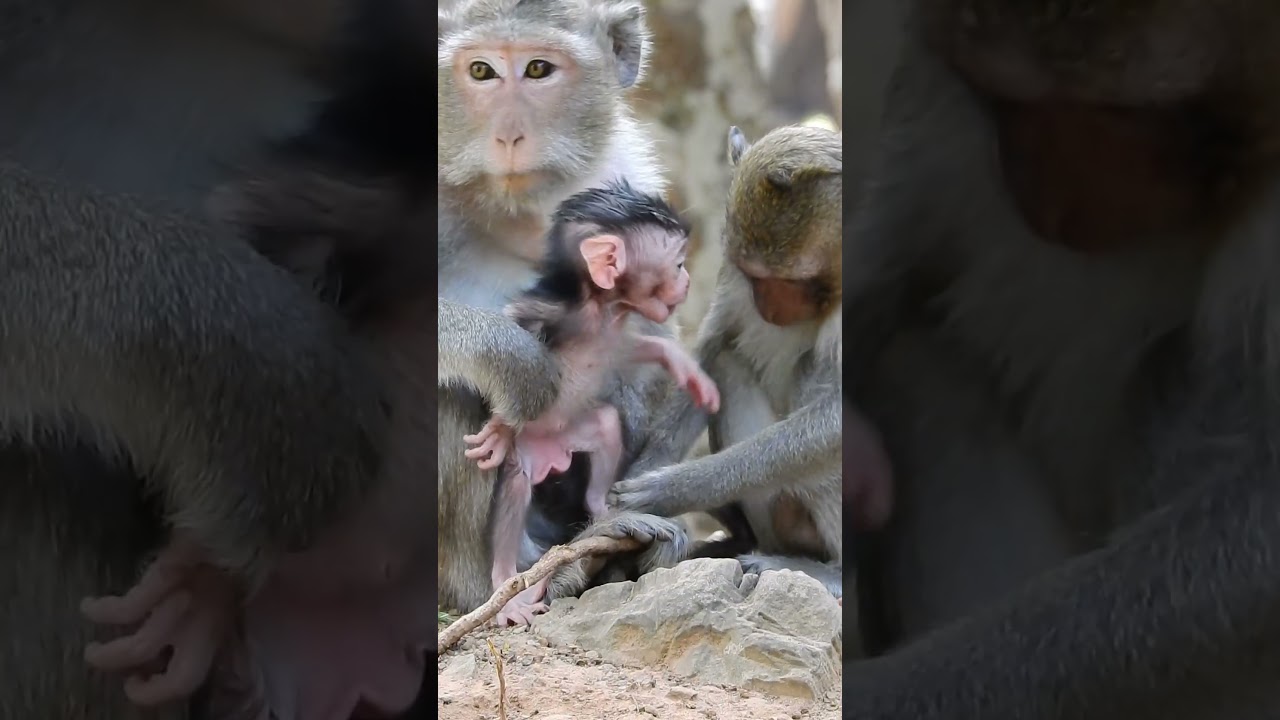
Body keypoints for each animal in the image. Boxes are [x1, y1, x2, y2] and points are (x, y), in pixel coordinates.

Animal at [460, 179, 720, 625]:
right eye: (678, 264)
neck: (603, 308)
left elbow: (630, 350)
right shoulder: (550, 311)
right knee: (515, 491)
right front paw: (498, 427)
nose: (686, 281)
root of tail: (553, 454)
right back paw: (506, 586)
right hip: (528, 454)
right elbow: (512, 342)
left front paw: (683, 365)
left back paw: (604, 513)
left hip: (579, 432)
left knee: (607, 428)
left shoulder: (614, 333)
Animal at [606, 124, 860, 598]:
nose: (768, 308)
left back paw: (832, 572)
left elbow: (838, 419)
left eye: (792, 281)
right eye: (753, 275)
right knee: (729, 363)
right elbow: (712, 351)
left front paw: (672, 489)